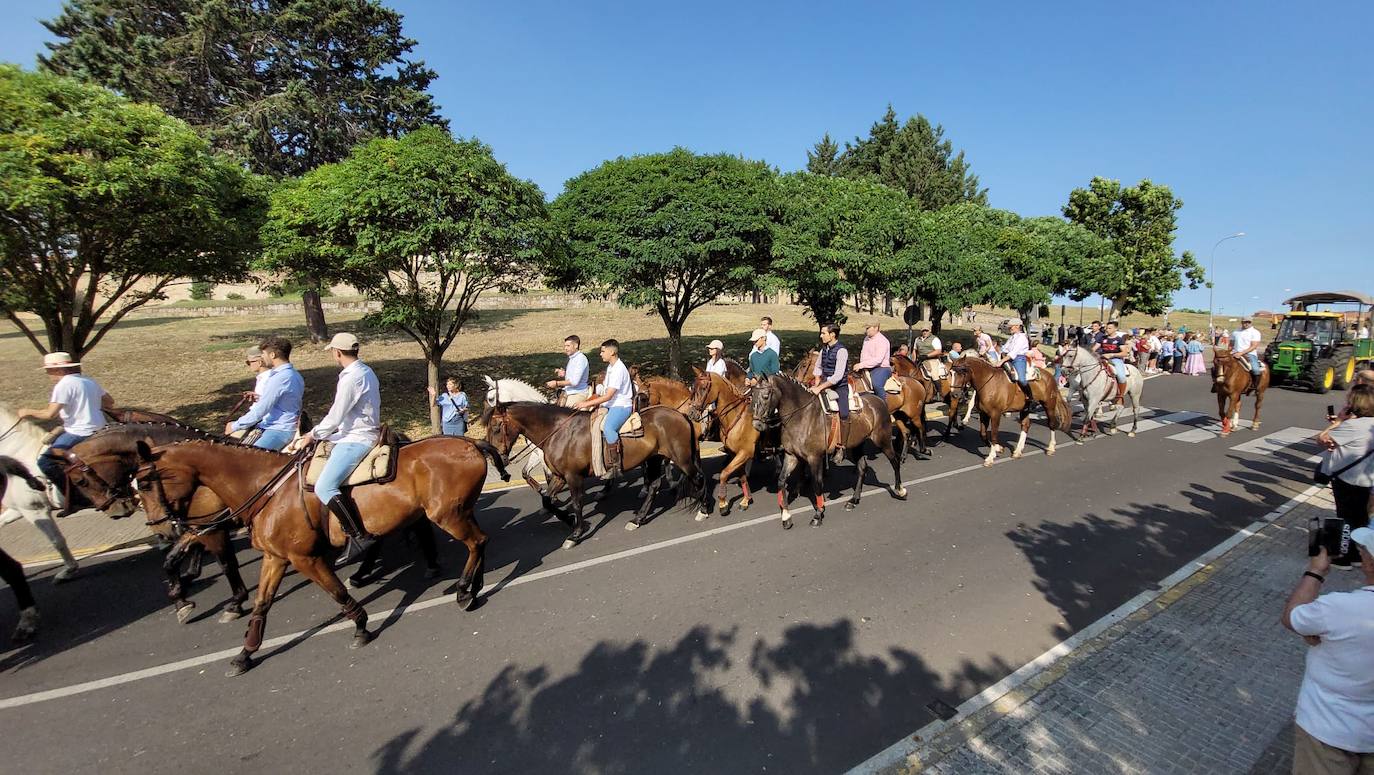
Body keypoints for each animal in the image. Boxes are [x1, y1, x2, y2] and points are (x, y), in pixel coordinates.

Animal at [132, 436, 511, 678]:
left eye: (147, 482)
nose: (161, 530)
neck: (269, 489)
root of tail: (469, 443)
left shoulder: (305, 558)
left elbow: (336, 592)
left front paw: (360, 626)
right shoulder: (275, 557)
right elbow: (262, 604)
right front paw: (245, 653)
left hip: (448, 515)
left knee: (476, 542)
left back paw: (463, 590)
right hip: (453, 513)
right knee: (480, 542)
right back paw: (471, 586)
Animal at [483, 398, 708, 544]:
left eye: (496, 427)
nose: (493, 459)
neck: (559, 431)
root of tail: (681, 415)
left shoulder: (573, 477)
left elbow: (577, 503)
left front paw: (575, 534)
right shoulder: (559, 476)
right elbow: (547, 500)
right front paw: (569, 520)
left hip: (681, 457)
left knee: (698, 476)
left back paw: (703, 510)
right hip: (654, 458)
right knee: (653, 486)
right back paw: (637, 519)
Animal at [747, 373, 906, 530]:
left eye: (766, 395)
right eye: (752, 395)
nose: (757, 424)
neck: (802, 416)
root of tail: (879, 400)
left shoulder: (814, 458)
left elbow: (817, 484)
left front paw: (818, 514)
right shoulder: (791, 456)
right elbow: (781, 480)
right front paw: (786, 516)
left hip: (883, 441)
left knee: (895, 461)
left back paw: (900, 490)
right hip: (854, 447)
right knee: (862, 468)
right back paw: (853, 500)